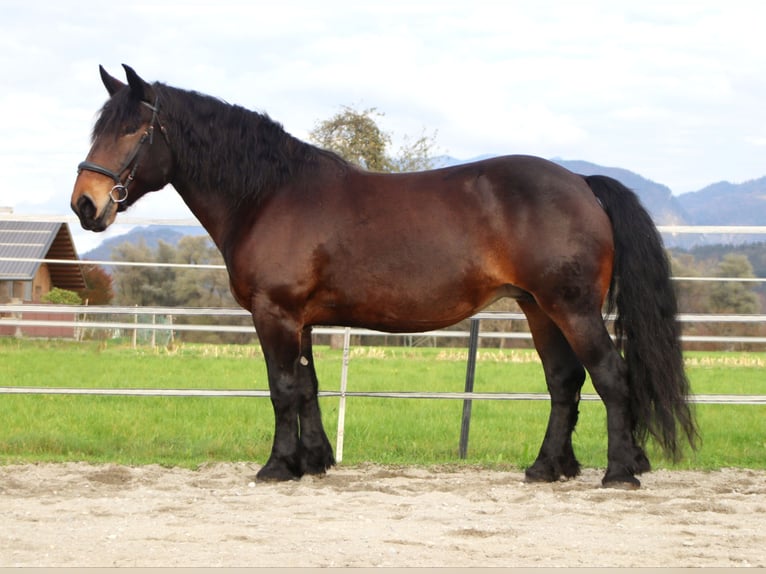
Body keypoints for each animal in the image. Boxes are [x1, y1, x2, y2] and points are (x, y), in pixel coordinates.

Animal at [69, 65, 700, 488]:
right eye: (99, 128)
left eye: (135, 131)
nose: (85, 204)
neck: (270, 195)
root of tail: (582, 183)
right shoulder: (300, 319)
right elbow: (309, 388)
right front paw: (314, 462)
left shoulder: (275, 314)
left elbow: (282, 389)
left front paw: (276, 467)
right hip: (538, 308)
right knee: (565, 382)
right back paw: (548, 467)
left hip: (571, 307)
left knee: (610, 376)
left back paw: (619, 473)